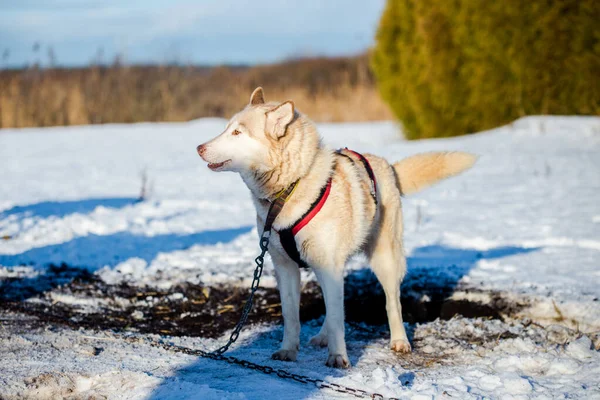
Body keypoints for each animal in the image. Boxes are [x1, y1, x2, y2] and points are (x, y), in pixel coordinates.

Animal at [197, 88, 474, 368]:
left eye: (237, 132)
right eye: (226, 128)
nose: (199, 148)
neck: (290, 188)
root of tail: (388, 166)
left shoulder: (328, 264)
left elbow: (338, 320)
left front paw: (339, 357)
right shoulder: (285, 266)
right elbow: (292, 315)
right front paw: (288, 350)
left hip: (383, 259)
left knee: (390, 303)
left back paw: (399, 341)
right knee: (334, 309)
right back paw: (322, 337)